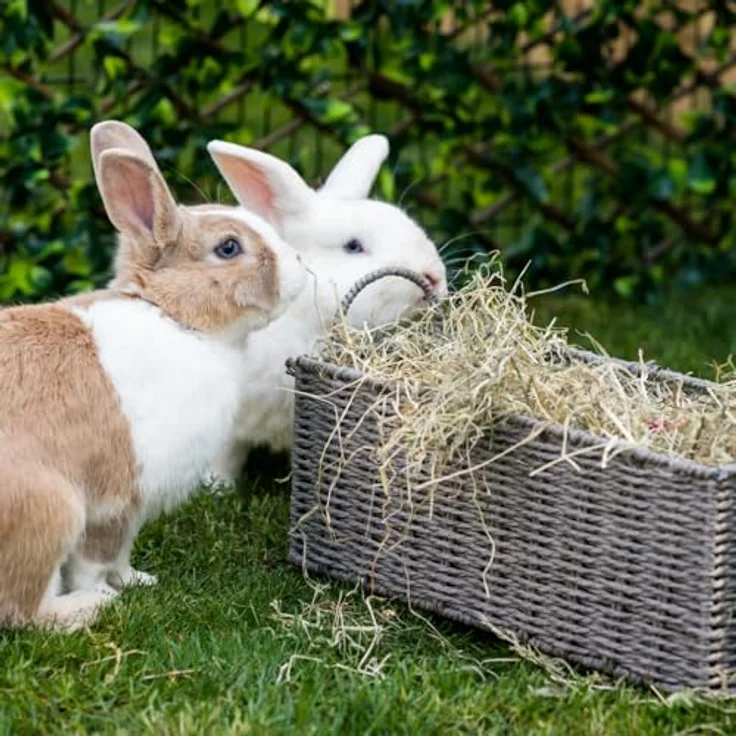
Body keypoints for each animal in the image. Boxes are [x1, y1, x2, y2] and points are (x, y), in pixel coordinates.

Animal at [0, 121, 306, 631]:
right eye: (228, 247)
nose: (301, 270)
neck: (175, 319)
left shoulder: (136, 508)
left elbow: (121, 555)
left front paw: (139, 581)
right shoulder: (117, 496)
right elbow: (96, 558)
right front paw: (107, 592)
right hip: (51, 511)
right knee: (23, 609)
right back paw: (85, 608)